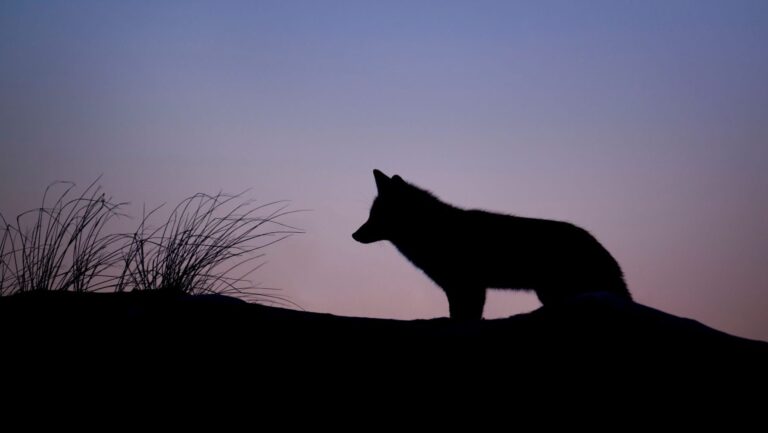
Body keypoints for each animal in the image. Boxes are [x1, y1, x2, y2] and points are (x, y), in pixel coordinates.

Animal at [352, 169, 631, 320]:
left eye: (377, 216)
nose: (354, 235)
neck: (434, 231)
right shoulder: (458, 288)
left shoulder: (468, 286)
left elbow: (465, 317)